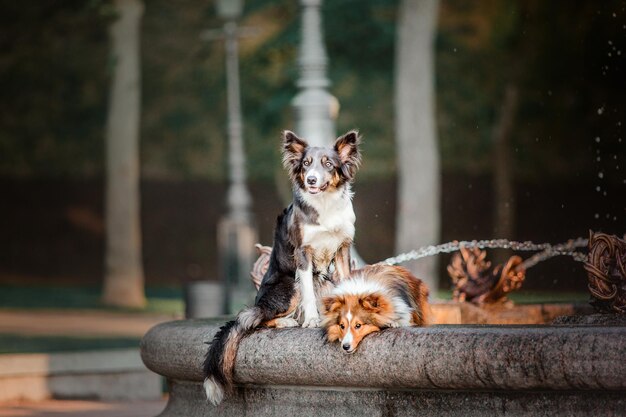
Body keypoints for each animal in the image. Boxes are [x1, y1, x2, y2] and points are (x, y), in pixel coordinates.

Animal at [205, 129, 360, 404]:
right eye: (306, 164)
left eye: (328, 164)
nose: (311, 180)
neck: (324, 204)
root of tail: (259, 301)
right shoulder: (303, 254)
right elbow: (308, 294)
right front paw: (312, 320)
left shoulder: (343, 249)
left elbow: (345, 283)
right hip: (289, 287)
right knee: (255, 319)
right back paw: (289, 322)